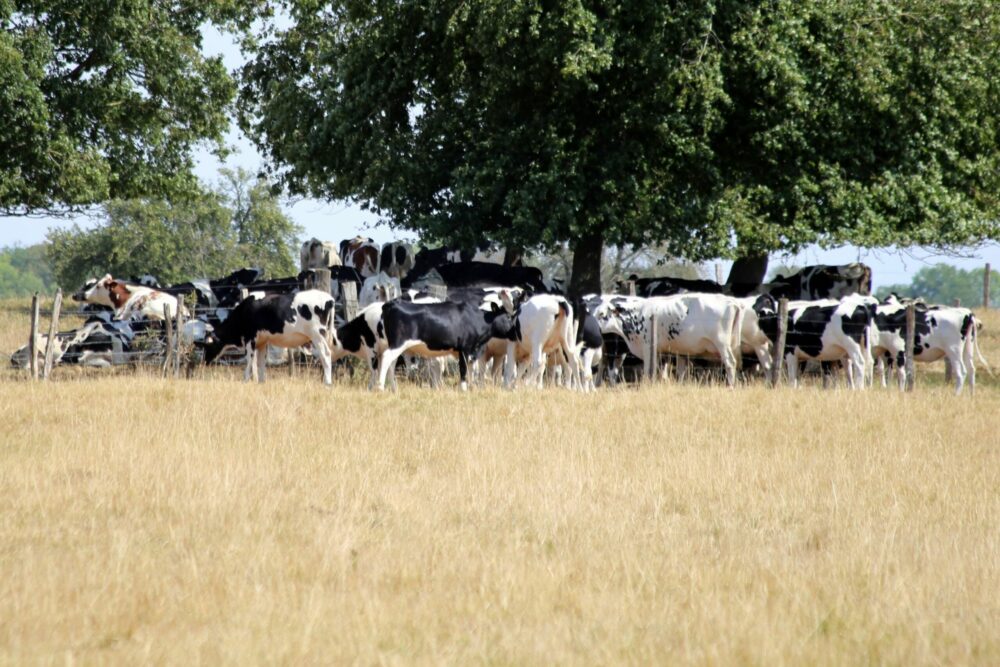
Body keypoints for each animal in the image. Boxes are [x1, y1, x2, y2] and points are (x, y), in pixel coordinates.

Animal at [198, 288, 336, 386]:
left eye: (207, 346)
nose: (203, 361)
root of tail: (329, 298)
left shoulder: (250, 338)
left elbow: (250, 360)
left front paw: (245, 380)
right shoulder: (262, 342)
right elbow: (261, 362)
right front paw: (261, 382)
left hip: (317, 335)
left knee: (326, 354)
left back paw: (327, 382)